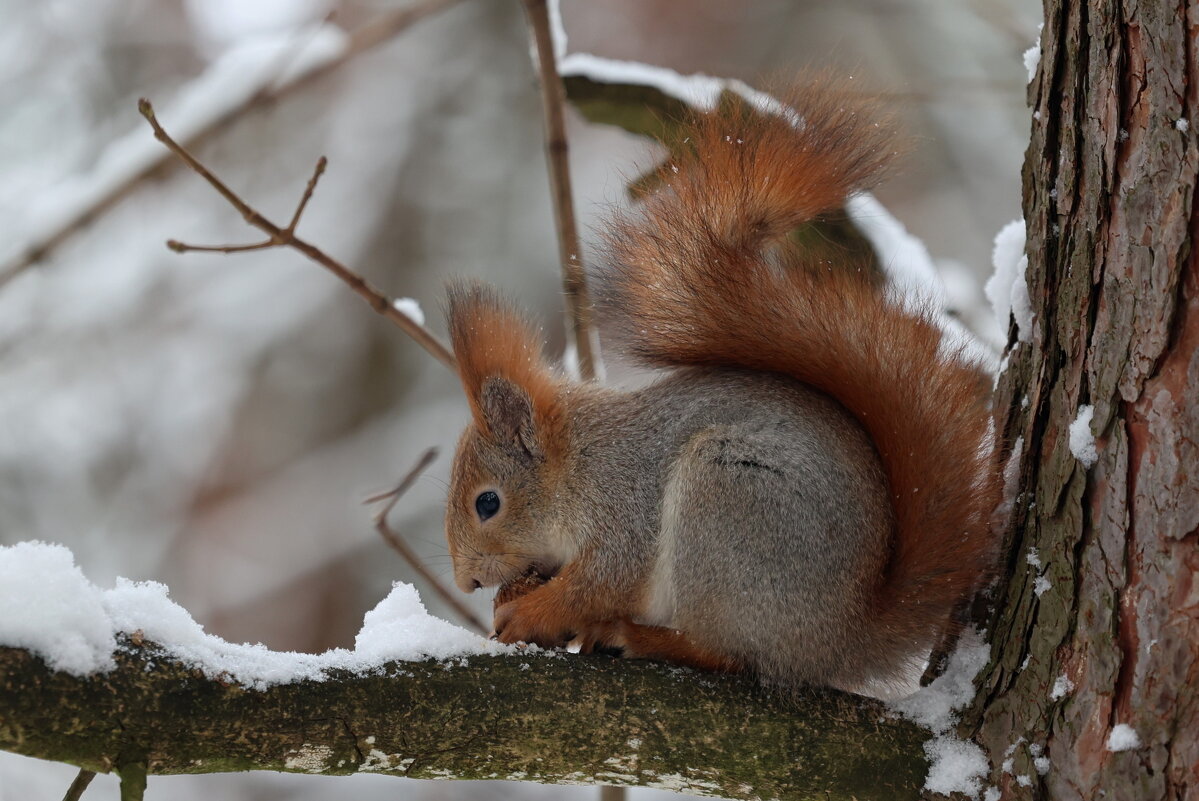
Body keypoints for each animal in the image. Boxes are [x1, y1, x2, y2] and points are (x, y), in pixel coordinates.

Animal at [436, 82, 997, 695]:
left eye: (487, 503)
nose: (466, 583)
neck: (578, 464)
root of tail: (839, 640)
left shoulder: (624, 507)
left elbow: (603, 579)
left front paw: (532, 613)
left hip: (726, 506)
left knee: (732, 656)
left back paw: (640, 638)